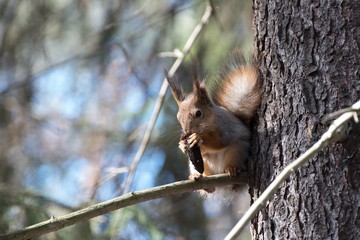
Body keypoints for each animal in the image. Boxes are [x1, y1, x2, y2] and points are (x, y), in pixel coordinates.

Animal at [166, 52, 262, 199]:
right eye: (178, 117)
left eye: (198, 113)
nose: (187, 133)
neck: (208, 125)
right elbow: (203, 150)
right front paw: (182, 145)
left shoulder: (226, 128)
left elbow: (219, 142)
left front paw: (198, 138)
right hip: (201, 165)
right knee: (209, 185)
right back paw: (199, 178)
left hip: (238, 150)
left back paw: (232, 168)